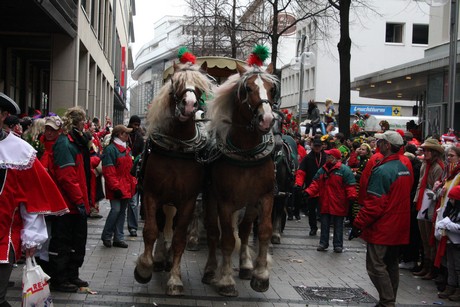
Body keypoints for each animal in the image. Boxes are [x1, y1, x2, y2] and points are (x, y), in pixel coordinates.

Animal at [132, 62, 213, 296]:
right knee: (160, 225)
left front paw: (175, 279)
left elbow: (179, 239)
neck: (177, 147)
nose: (189, 105)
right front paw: (144, 268)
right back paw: (159, 259)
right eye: (176, 82)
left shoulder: (187, 201)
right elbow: (151, 230)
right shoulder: (151, 194)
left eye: (200, 87)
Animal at [203, 62, 278, 296]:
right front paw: (226, 280)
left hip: (249, 203)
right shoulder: (225, 202)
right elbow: (226, 239)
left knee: (244, 231)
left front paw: (260, 275)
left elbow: (263, 232)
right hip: (211, 199)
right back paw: (211, 270)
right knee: (212, 232)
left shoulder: (265, 197)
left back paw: (245, 265)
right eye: (247, 89)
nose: (267, 119)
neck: (246, 153)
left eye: (272, 90)